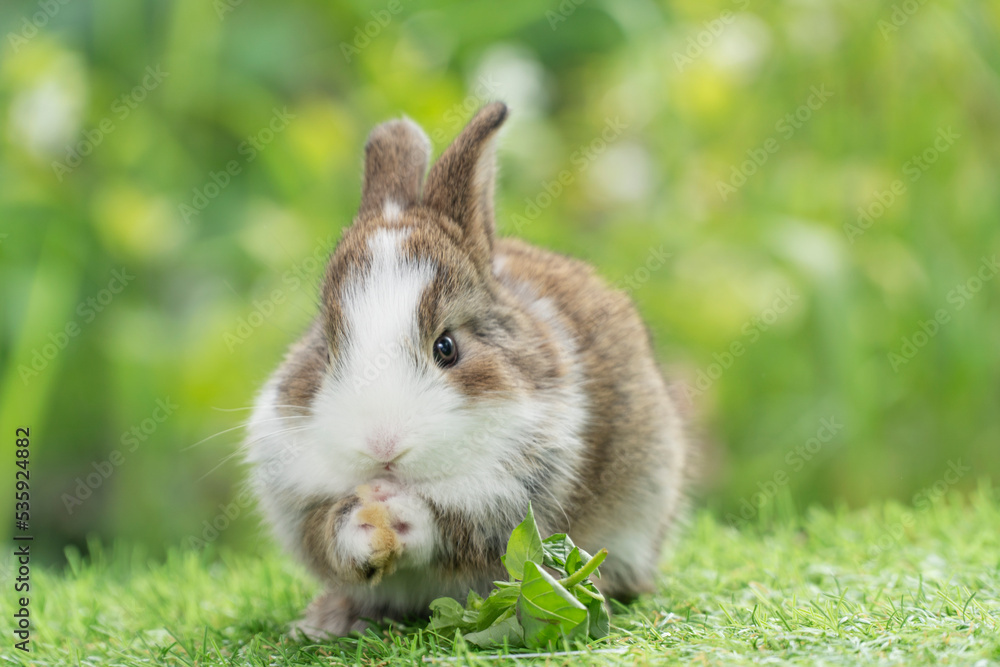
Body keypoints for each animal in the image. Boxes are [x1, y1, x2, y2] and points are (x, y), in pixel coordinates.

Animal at [245, 101, 690, 637]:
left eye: (447, 347)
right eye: (327, 349)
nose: (382, 448)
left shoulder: (515, 491)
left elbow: (458, 531)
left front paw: (403, 516)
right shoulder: (295, 490)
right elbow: (323, 532)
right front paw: (365, 525)